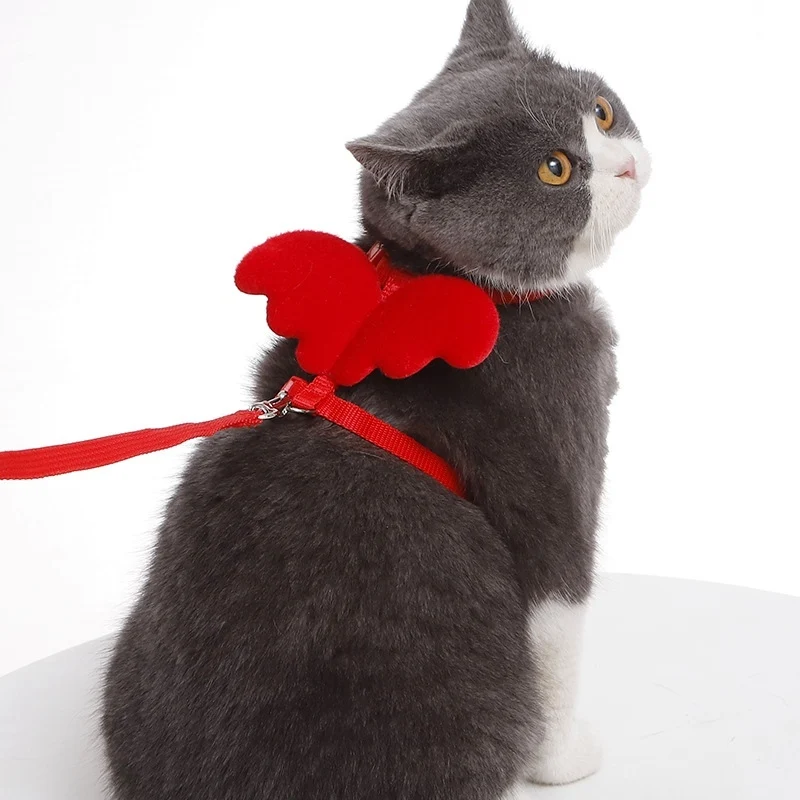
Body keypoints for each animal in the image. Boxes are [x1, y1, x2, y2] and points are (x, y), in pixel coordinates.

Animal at [101, 1, 650, 798]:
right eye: (555, 169)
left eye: (603, 112)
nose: (628, 165)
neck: (428, 283)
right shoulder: (552, 441)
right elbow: (557, 615)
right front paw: (562, 761)